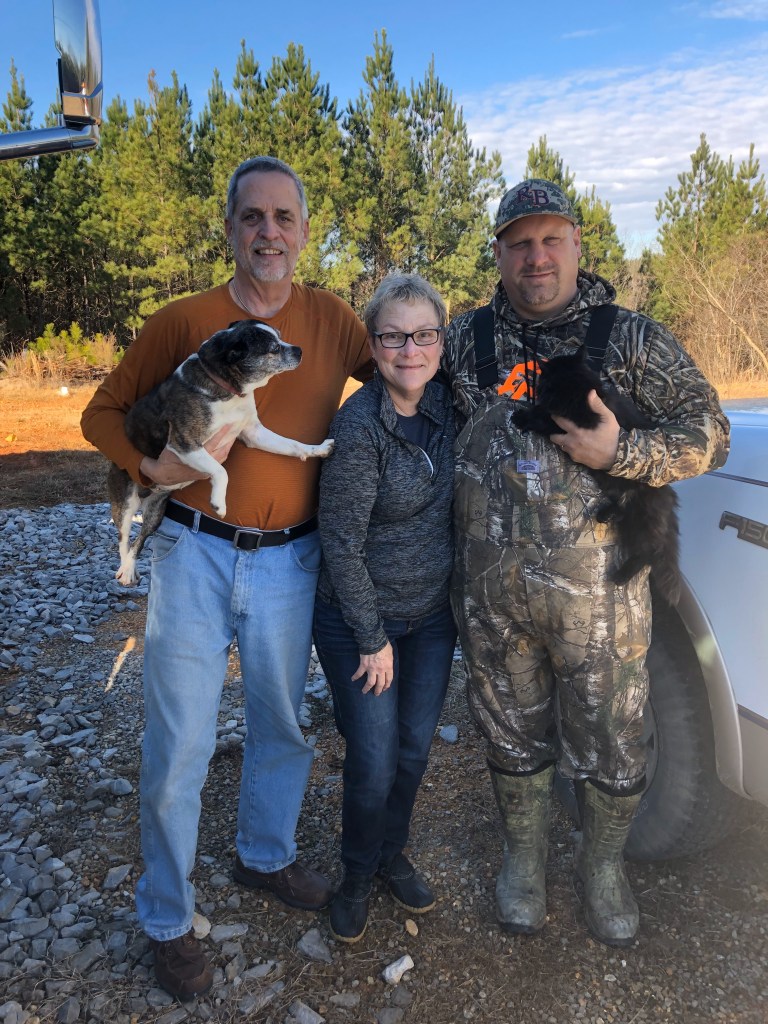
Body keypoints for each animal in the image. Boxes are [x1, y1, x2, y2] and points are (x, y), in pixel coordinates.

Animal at [108, 319, 334, 586]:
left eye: (280, 337)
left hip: (156, 512)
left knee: (140, 539)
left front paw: (316, 449)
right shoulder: (184, 443)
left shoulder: (253, 433)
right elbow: (221, 470)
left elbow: (292, 444)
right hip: (125, 502)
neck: (224, 387)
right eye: (273, 349)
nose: (299, 350)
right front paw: (219, 503)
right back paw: (125, 569)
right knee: (123, 539)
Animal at [511, 344, 681, 605]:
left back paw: (621, 576)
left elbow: (546, 418)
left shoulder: (578, 424)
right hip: (629, 516)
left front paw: (524, 416)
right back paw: (606, 514)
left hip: (643, 520)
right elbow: (545, 412)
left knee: (651, 552)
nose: (541, 391)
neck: (574, 387)